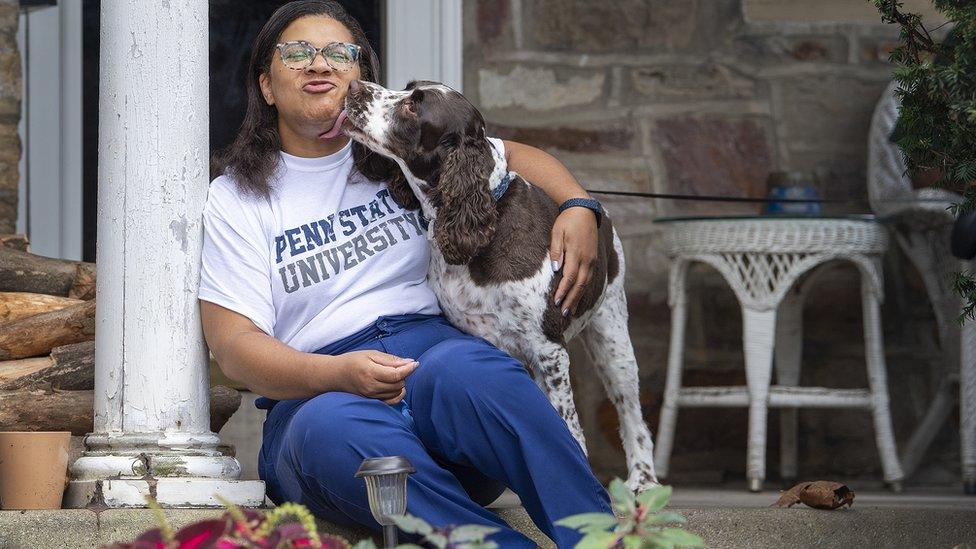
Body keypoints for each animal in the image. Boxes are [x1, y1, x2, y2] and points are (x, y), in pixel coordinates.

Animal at [342, 76, 656, 488]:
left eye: (413, 105)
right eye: (407, 87)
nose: (352, 87)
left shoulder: (548, 349)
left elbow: (569, 429)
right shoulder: (488, 341)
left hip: (612, 335)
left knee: (631, 411)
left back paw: (644, 480)